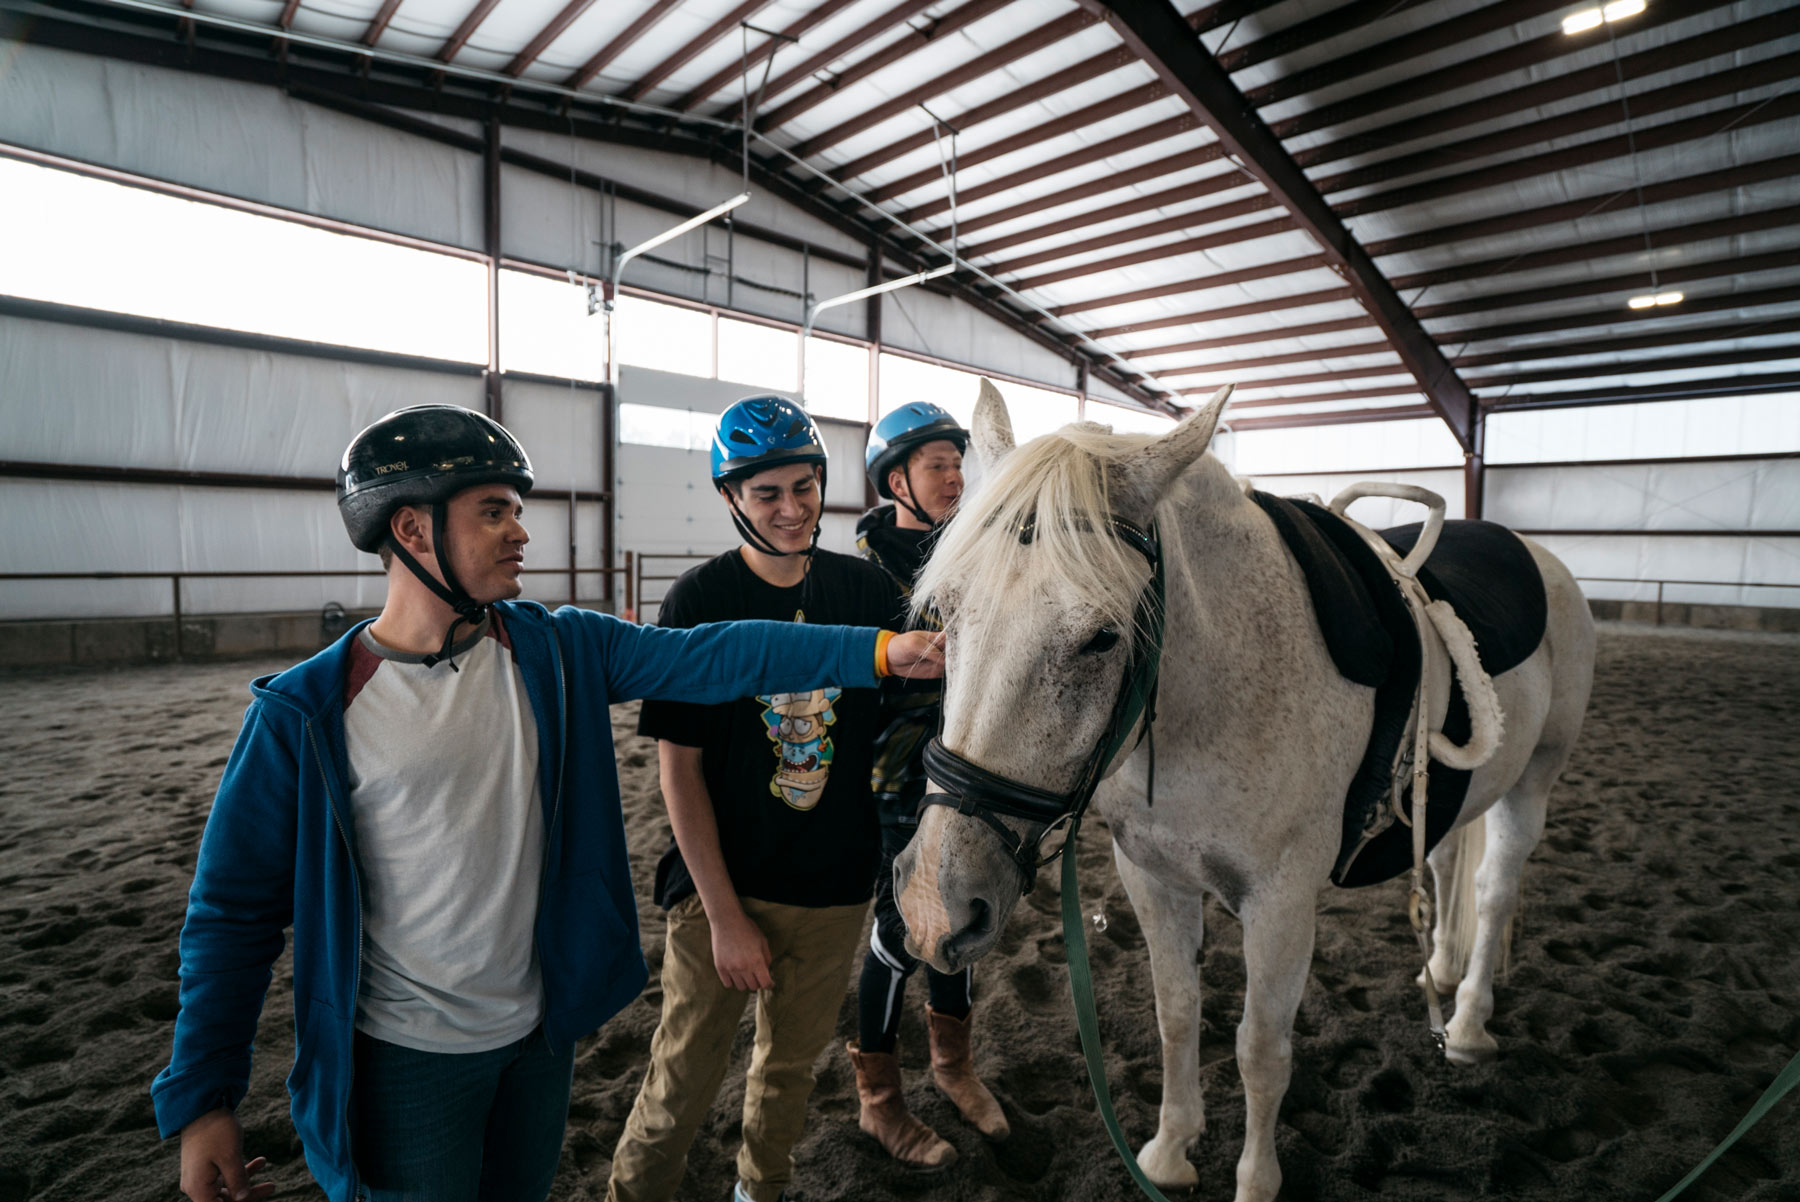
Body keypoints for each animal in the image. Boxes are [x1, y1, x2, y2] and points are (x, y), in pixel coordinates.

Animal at [892, 385, 1598, 1202]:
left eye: (1102, 637)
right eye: (946, 613)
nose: (932, 905)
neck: (1206, 701)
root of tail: (1535, 554)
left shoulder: (1281, 902)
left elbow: (1261, 1049)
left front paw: (1255, 1181)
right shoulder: (1151, 877)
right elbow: (1175, 1014)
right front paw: (1169, 1152)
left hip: (1535, 780)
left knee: (1494, 889)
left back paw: (1469, 1022)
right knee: (1449, 858)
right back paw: (1441, 972)